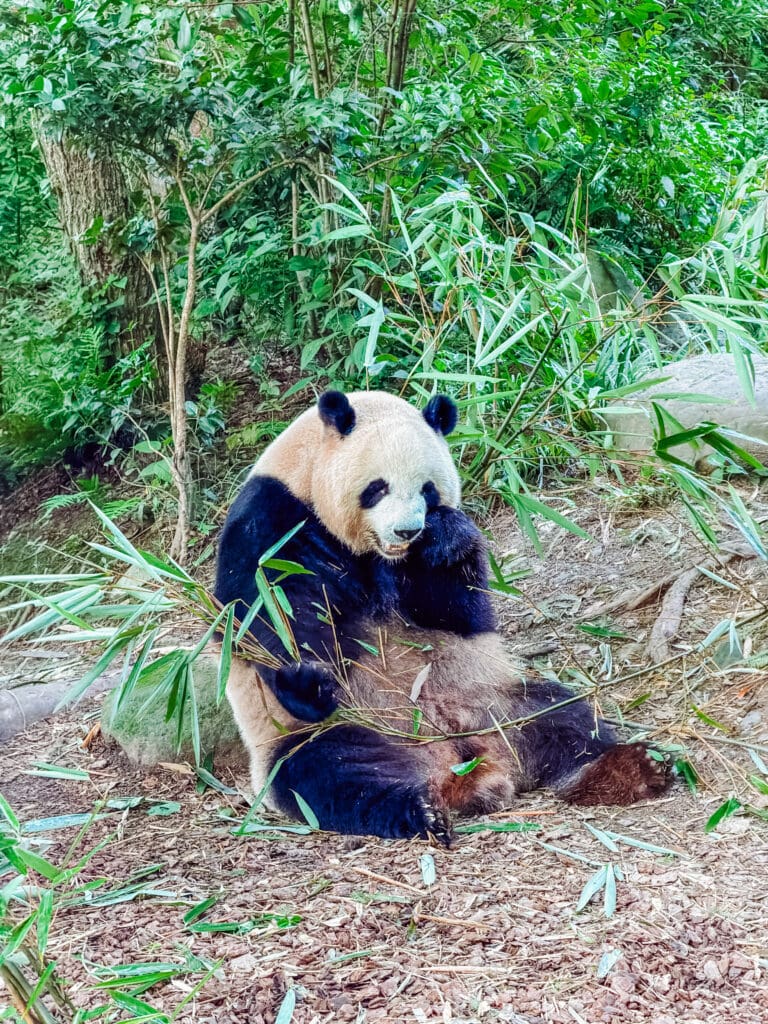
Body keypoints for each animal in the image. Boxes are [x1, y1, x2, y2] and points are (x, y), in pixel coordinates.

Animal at [214, 390, 671, 843]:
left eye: (427, 489)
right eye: (377, 488)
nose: (407, 531)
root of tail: (459, 761)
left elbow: (455, 608)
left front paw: (446, 538)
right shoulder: (273, 520)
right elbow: (269, 612)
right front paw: (308, 679)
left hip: (490, 699)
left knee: (563, 717)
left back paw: (626, 770)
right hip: (324, 735)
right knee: (335, 773)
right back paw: (420, 811)